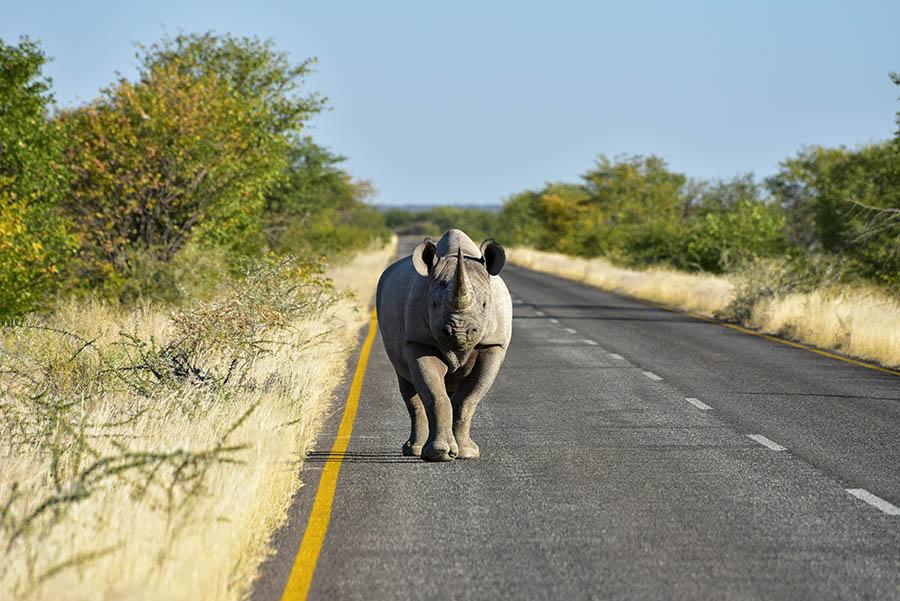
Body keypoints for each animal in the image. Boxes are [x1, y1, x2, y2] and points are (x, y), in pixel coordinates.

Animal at [376, 229, 512, 462]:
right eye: (433, 304)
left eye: (485, 305)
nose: (460, 332)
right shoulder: (420, 341)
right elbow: (435, 395)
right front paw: (441, 453)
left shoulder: (493, 344)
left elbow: (468, 399)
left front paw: (467, 453)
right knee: (407, 381)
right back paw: (414, 449)